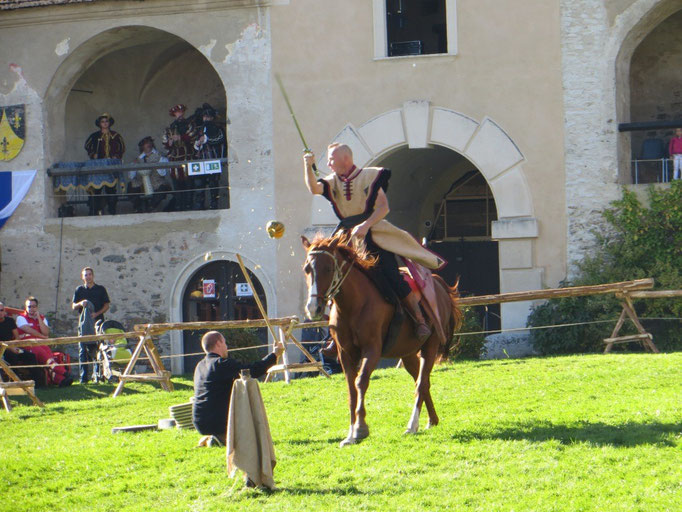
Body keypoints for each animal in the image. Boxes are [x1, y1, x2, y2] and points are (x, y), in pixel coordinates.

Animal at [300, 234, 460, 446]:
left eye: (328, 268)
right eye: (307, 269)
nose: (313, 308)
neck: (355, 304)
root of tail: (437, 283)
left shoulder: (372, 350)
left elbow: (361, 382)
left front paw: (360, 429)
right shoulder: (345, 353)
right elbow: (351, 389)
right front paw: (350, 434)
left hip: (430, 346)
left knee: (421, 383)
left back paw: (412, 425)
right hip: (408, 353)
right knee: (422, 381)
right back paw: (431, 420)